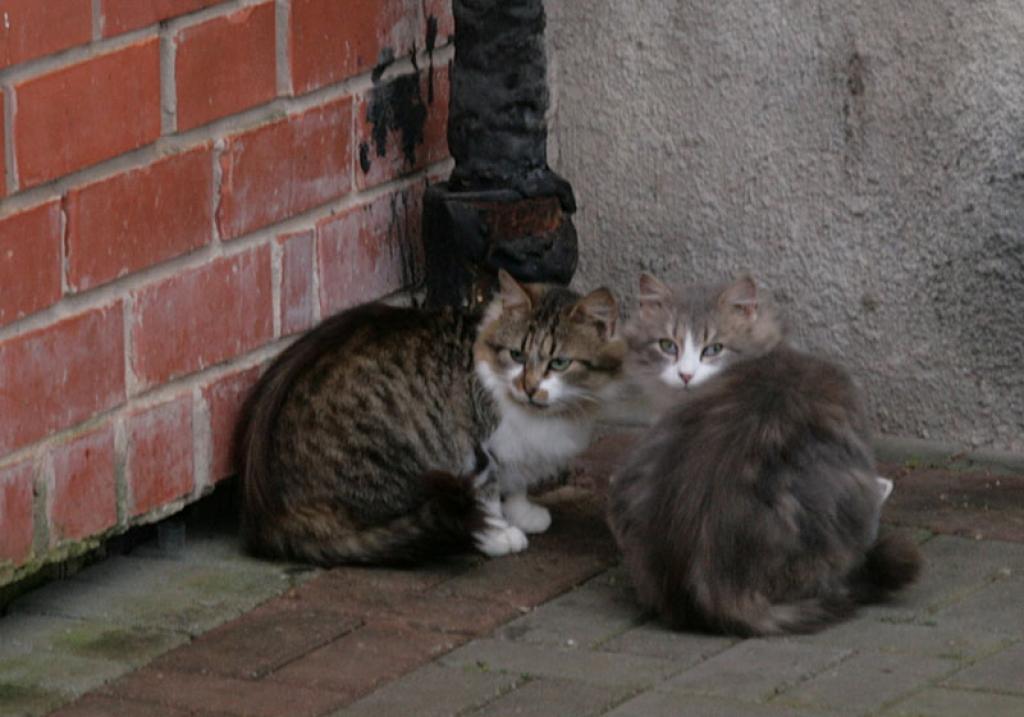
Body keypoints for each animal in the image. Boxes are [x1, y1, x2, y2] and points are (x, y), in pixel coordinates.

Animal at [238, 268, 622, 565]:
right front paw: (497, 534)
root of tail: (270, 517)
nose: (529, 387)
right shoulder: (479, 447)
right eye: (516, 355)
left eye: (559, 363)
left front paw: (523, 512)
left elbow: (516, 486)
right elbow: (488, 492)